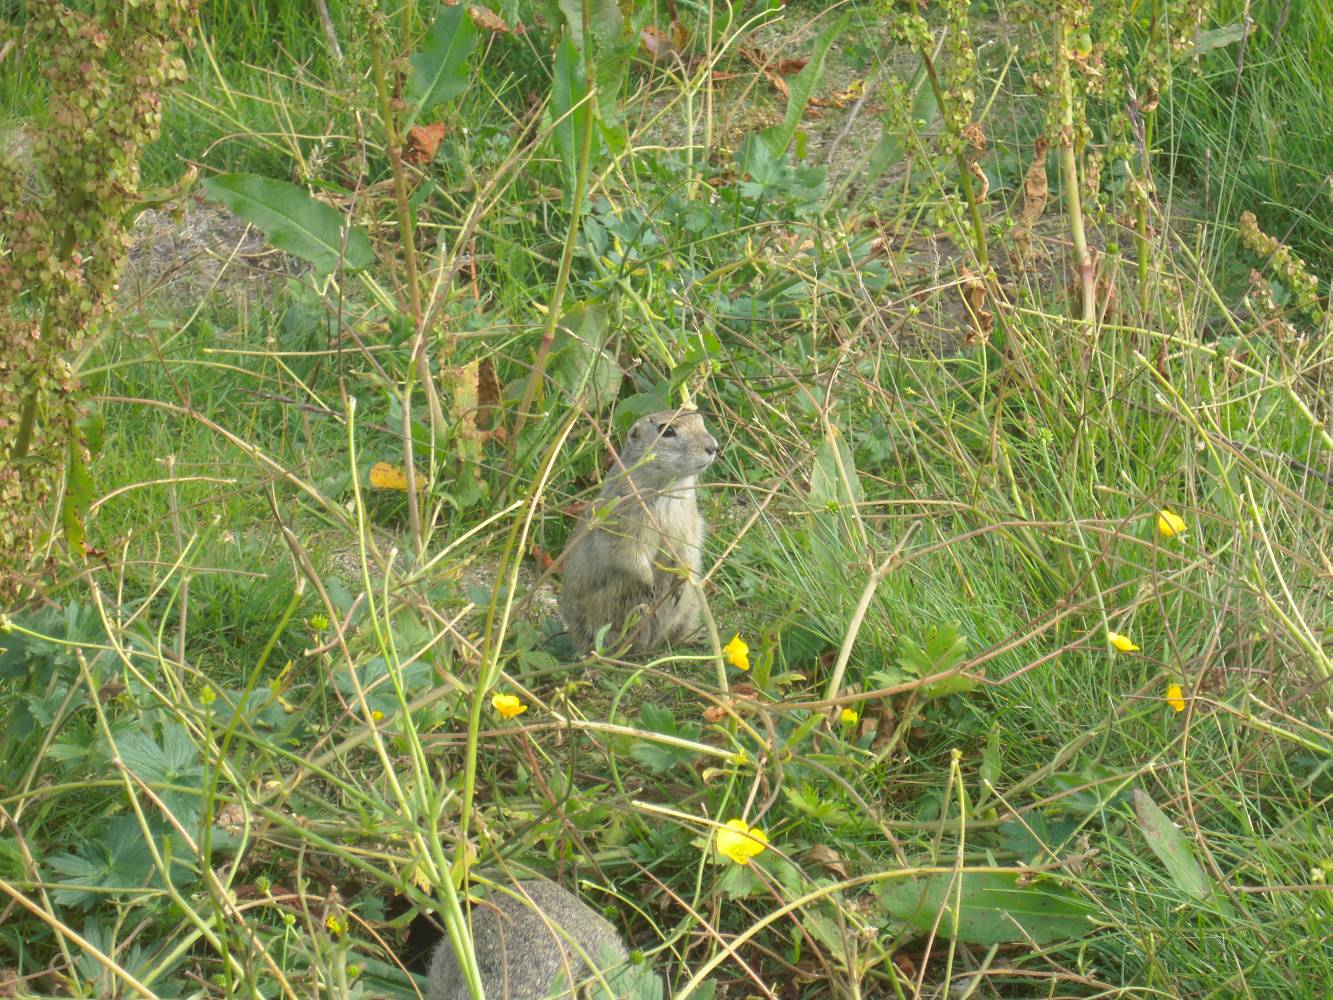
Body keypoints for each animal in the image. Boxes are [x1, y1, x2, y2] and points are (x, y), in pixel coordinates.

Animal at [559, 408, 719, 653]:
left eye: (700, 420)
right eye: (667, 430)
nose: (713, 447)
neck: (668, 489)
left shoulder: (688, 521)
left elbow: (688, 548)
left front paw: (680, 579)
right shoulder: (624, 519)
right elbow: (628, 551)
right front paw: (650, 583)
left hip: (690, 611)